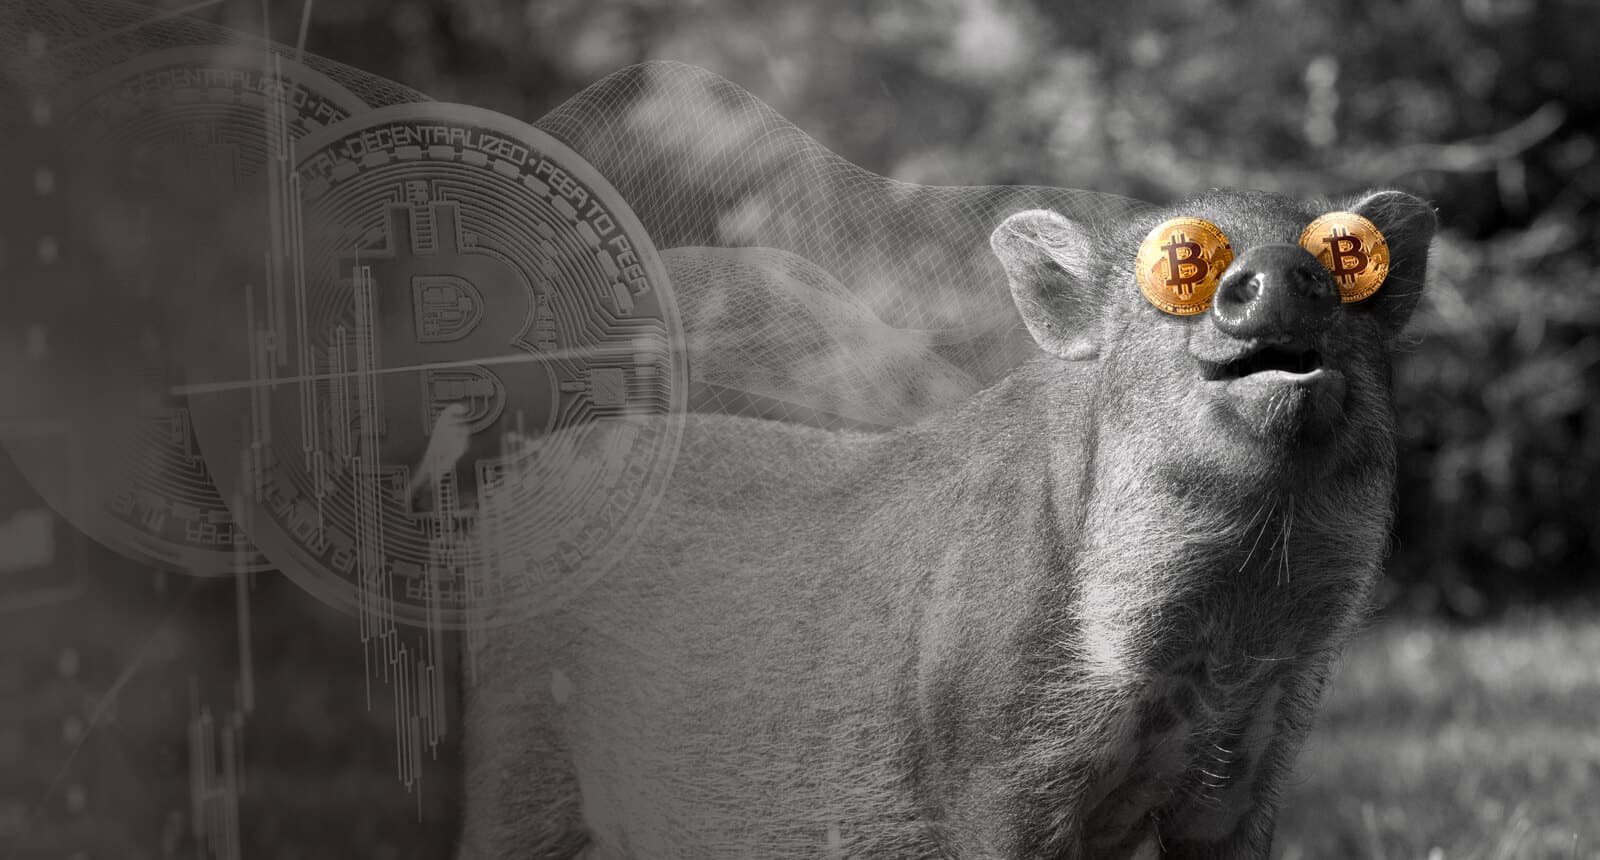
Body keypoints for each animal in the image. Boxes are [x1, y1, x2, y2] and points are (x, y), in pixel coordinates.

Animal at [454, 185, 1435, 859]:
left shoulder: (1252, 764)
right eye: (1179, 263)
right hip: (511, 759)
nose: (1283, 274)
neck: (1224, 634)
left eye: (1342, 255)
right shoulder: (990, 765)